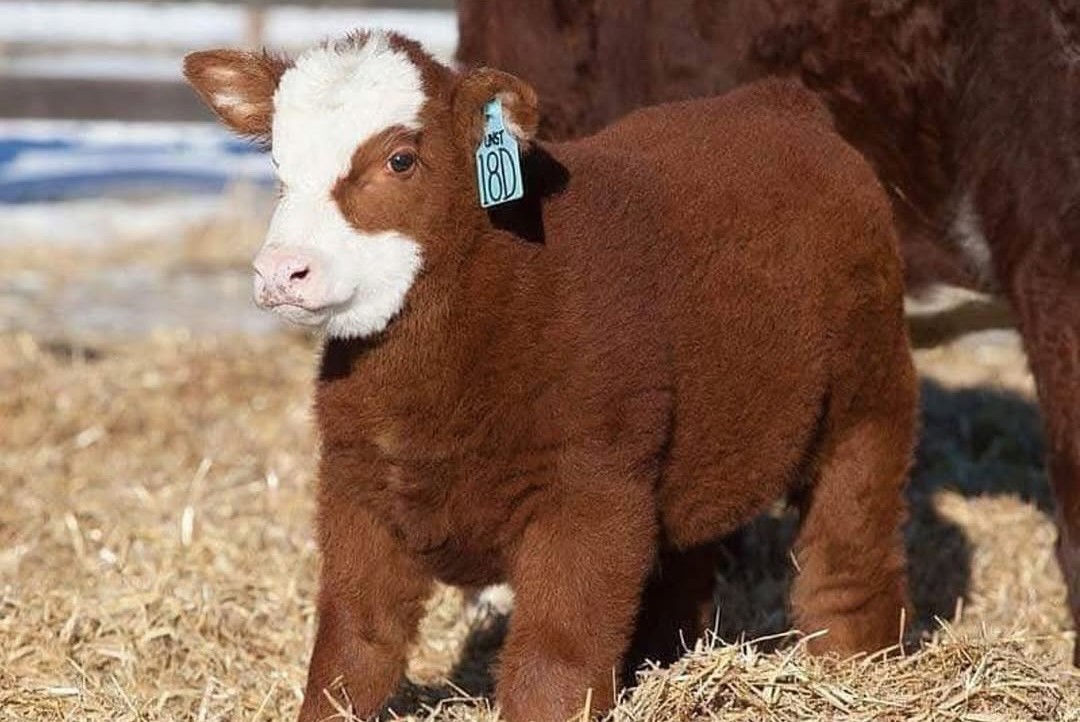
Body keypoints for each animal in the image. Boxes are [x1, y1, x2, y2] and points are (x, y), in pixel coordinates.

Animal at [184, 30, 916, 721]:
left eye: (400, 159)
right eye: (278, 164)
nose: (281, 271)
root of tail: (780, 103)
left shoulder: (591, 493)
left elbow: (553, 662)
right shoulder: (357, 486)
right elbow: (351, 649)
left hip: (870, 396)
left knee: (849, 551)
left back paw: (858, 670)